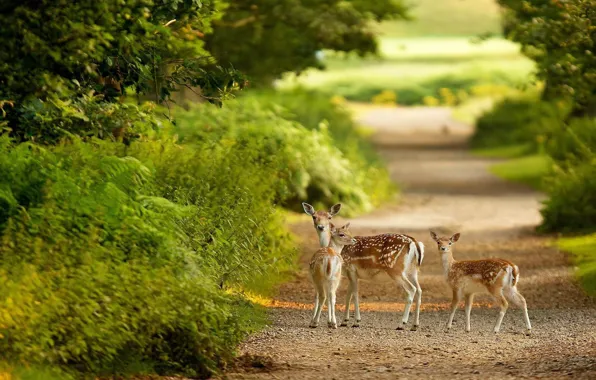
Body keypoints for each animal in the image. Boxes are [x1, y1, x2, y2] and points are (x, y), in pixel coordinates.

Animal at [302, 203, 424, 332]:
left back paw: (401, 323)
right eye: (314, 217)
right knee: (419, 290)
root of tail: (414, 243)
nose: (321, 227)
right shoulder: (350, 274)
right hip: (412, 271)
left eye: (329, 217)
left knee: (411, 290)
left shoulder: (351, 269)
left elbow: (354, 294)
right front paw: (344, 321)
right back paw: (415, 325)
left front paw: (356, 321)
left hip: (395, 269)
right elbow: (348, 295)